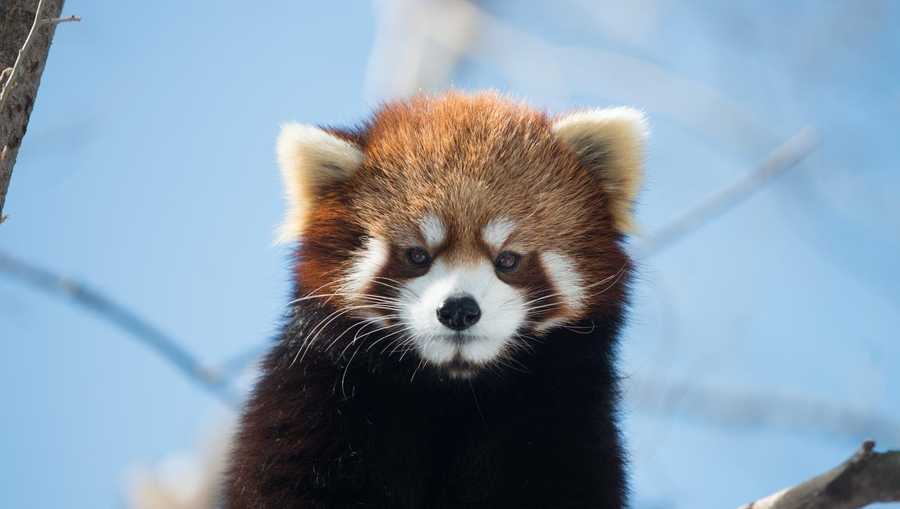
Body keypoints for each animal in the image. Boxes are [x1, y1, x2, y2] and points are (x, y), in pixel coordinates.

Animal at [225, 91, 648, 508]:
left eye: (507, 260)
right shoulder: (316, 411)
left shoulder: (565, 426)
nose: (459, 310)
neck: (453, 391)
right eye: (417, 255)